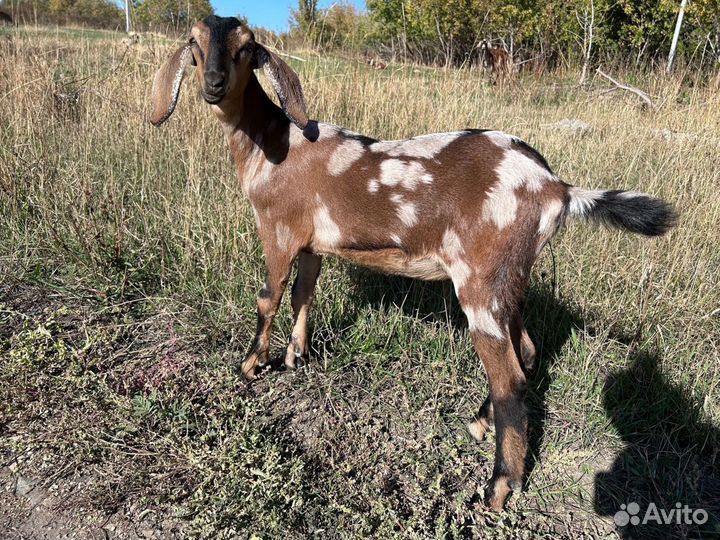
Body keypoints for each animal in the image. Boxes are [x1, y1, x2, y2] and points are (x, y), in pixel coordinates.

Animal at [150, 13, 676, 510]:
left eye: (246, 48)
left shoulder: (277, 231)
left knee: (509, 380)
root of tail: (557, 188)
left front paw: (249, 365)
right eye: (195, 43)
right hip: (511, 280)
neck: (274, 144)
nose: (213, 84)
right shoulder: (314, 244)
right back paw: (479, 424)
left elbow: (268, 297)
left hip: (480, 283)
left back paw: (498, 488)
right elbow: (304, 293)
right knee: (525, 353)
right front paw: (296, 354)